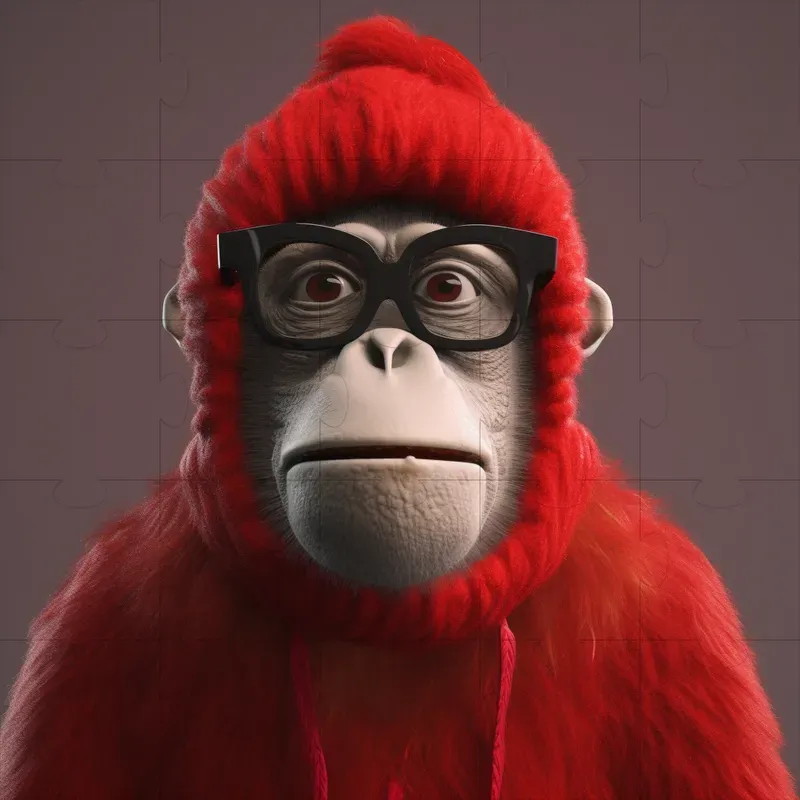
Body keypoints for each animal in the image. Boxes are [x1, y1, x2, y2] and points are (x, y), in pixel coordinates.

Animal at [1, 15, 795, 800]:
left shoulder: (674, 618)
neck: (397, 625)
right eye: (323, 287)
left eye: (446, 288)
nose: (386, 348)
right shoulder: (102, 619)